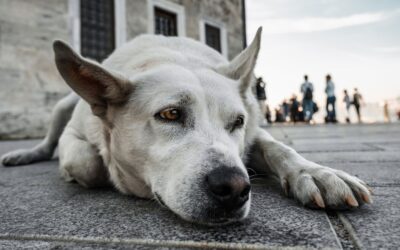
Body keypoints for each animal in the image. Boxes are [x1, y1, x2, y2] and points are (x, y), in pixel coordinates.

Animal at [0, 28, 372, 226]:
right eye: (170, 114)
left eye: (237, 122)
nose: (234, 187)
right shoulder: (75, 135)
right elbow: (88, 163)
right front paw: (82, 172)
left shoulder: (254, 133)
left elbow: (279, 148)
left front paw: (317, 173)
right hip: (62, 106)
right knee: (48, 142)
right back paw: (25, 154)